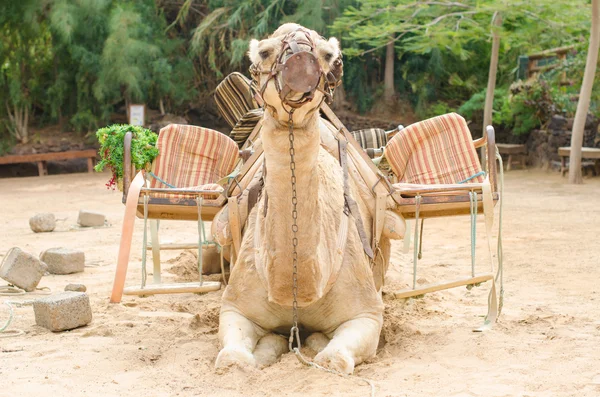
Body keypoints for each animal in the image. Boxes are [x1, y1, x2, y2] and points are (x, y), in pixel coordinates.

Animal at [216, 23, 390, 372]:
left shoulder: (367, 313)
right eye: (264, 52)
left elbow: (335, 358)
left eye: (329, 56)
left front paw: (312, 341)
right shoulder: (235, 307)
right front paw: (269, 346)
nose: (301, 63)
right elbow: (233, 358)